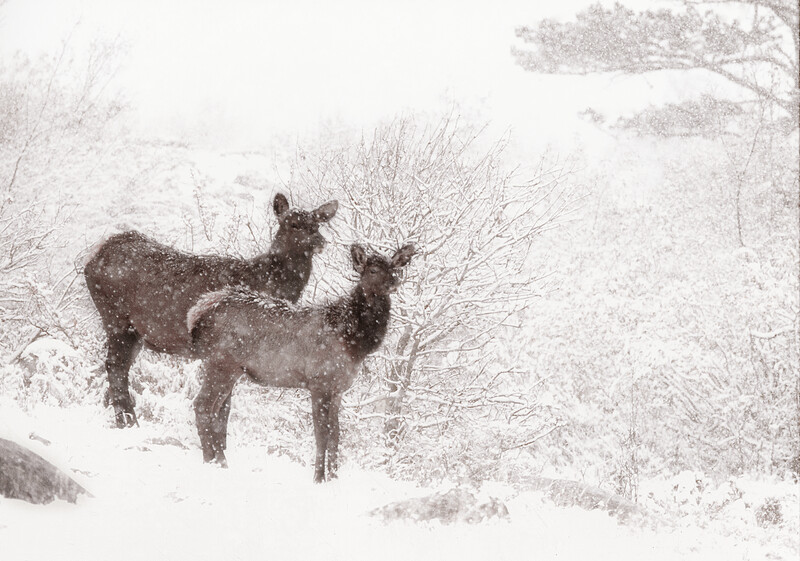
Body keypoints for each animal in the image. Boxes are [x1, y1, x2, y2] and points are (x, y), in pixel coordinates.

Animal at [84, 193, 338, 428]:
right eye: (292, 223)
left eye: (317, 224)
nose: (320, 241)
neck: (267, 281)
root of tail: (93, 256)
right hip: (115, 316)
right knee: (115, 366)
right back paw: (128, 421)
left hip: (135, 332)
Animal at [187, 242, 416, 482]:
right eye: (372, 270)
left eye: (394, 268)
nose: (394, 282)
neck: (353, 342)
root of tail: (195, 314)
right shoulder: (319, 382)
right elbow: (322, 434)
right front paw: (318, 478)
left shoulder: (338, 388)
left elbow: (336, 434)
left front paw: (334, 477)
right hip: (220, 363)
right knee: (202, 405)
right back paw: (211, 461)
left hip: (231, 369)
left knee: (217, 410)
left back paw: (220, 461)